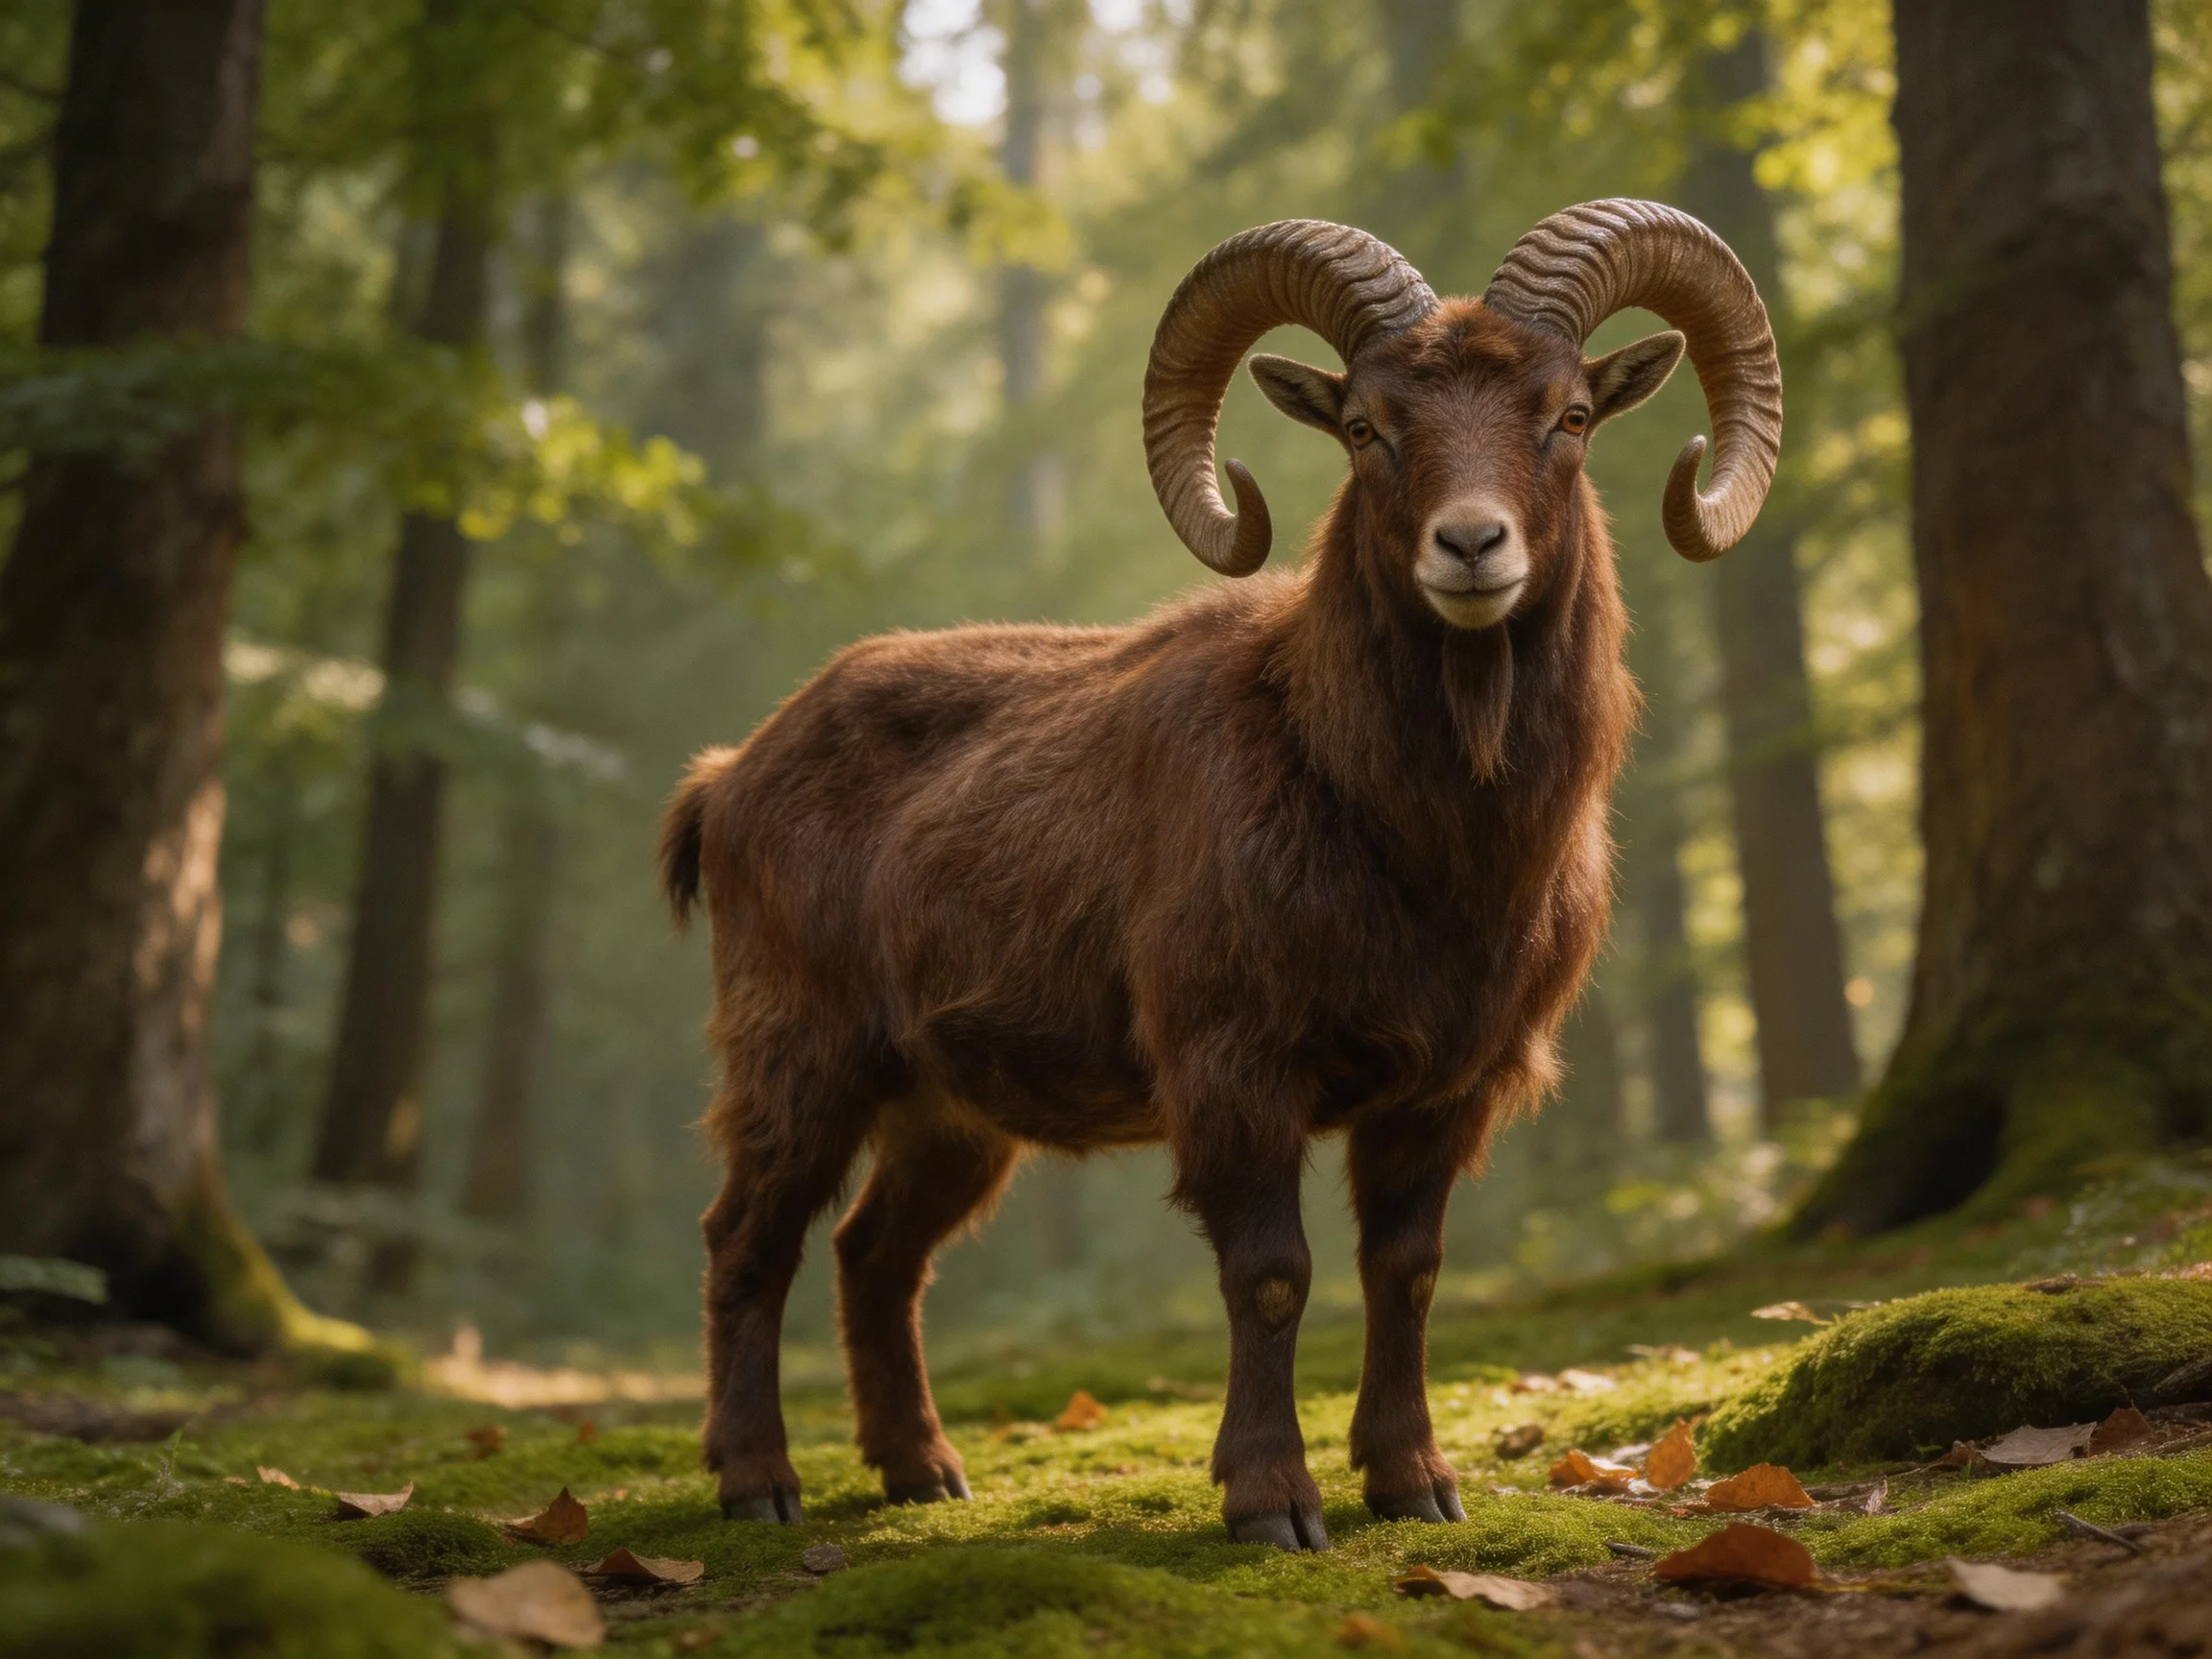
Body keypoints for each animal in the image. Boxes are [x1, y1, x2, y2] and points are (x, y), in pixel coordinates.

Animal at [661, 200, 1780, 1550]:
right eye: (1366, 426)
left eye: (1567, 416)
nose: (1471, 547)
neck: (1399, 833)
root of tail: (728, 777)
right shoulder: (1235, 1070)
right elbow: (1272, 1275)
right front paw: (1272, 1502)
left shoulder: (1443, 1092)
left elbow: (1405, 1272)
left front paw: (1415, 1486)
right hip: (803, 1058)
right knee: (746, 1242)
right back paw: (756, 1482)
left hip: (949, 1112)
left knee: (877, 1254)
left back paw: (923, 1470)